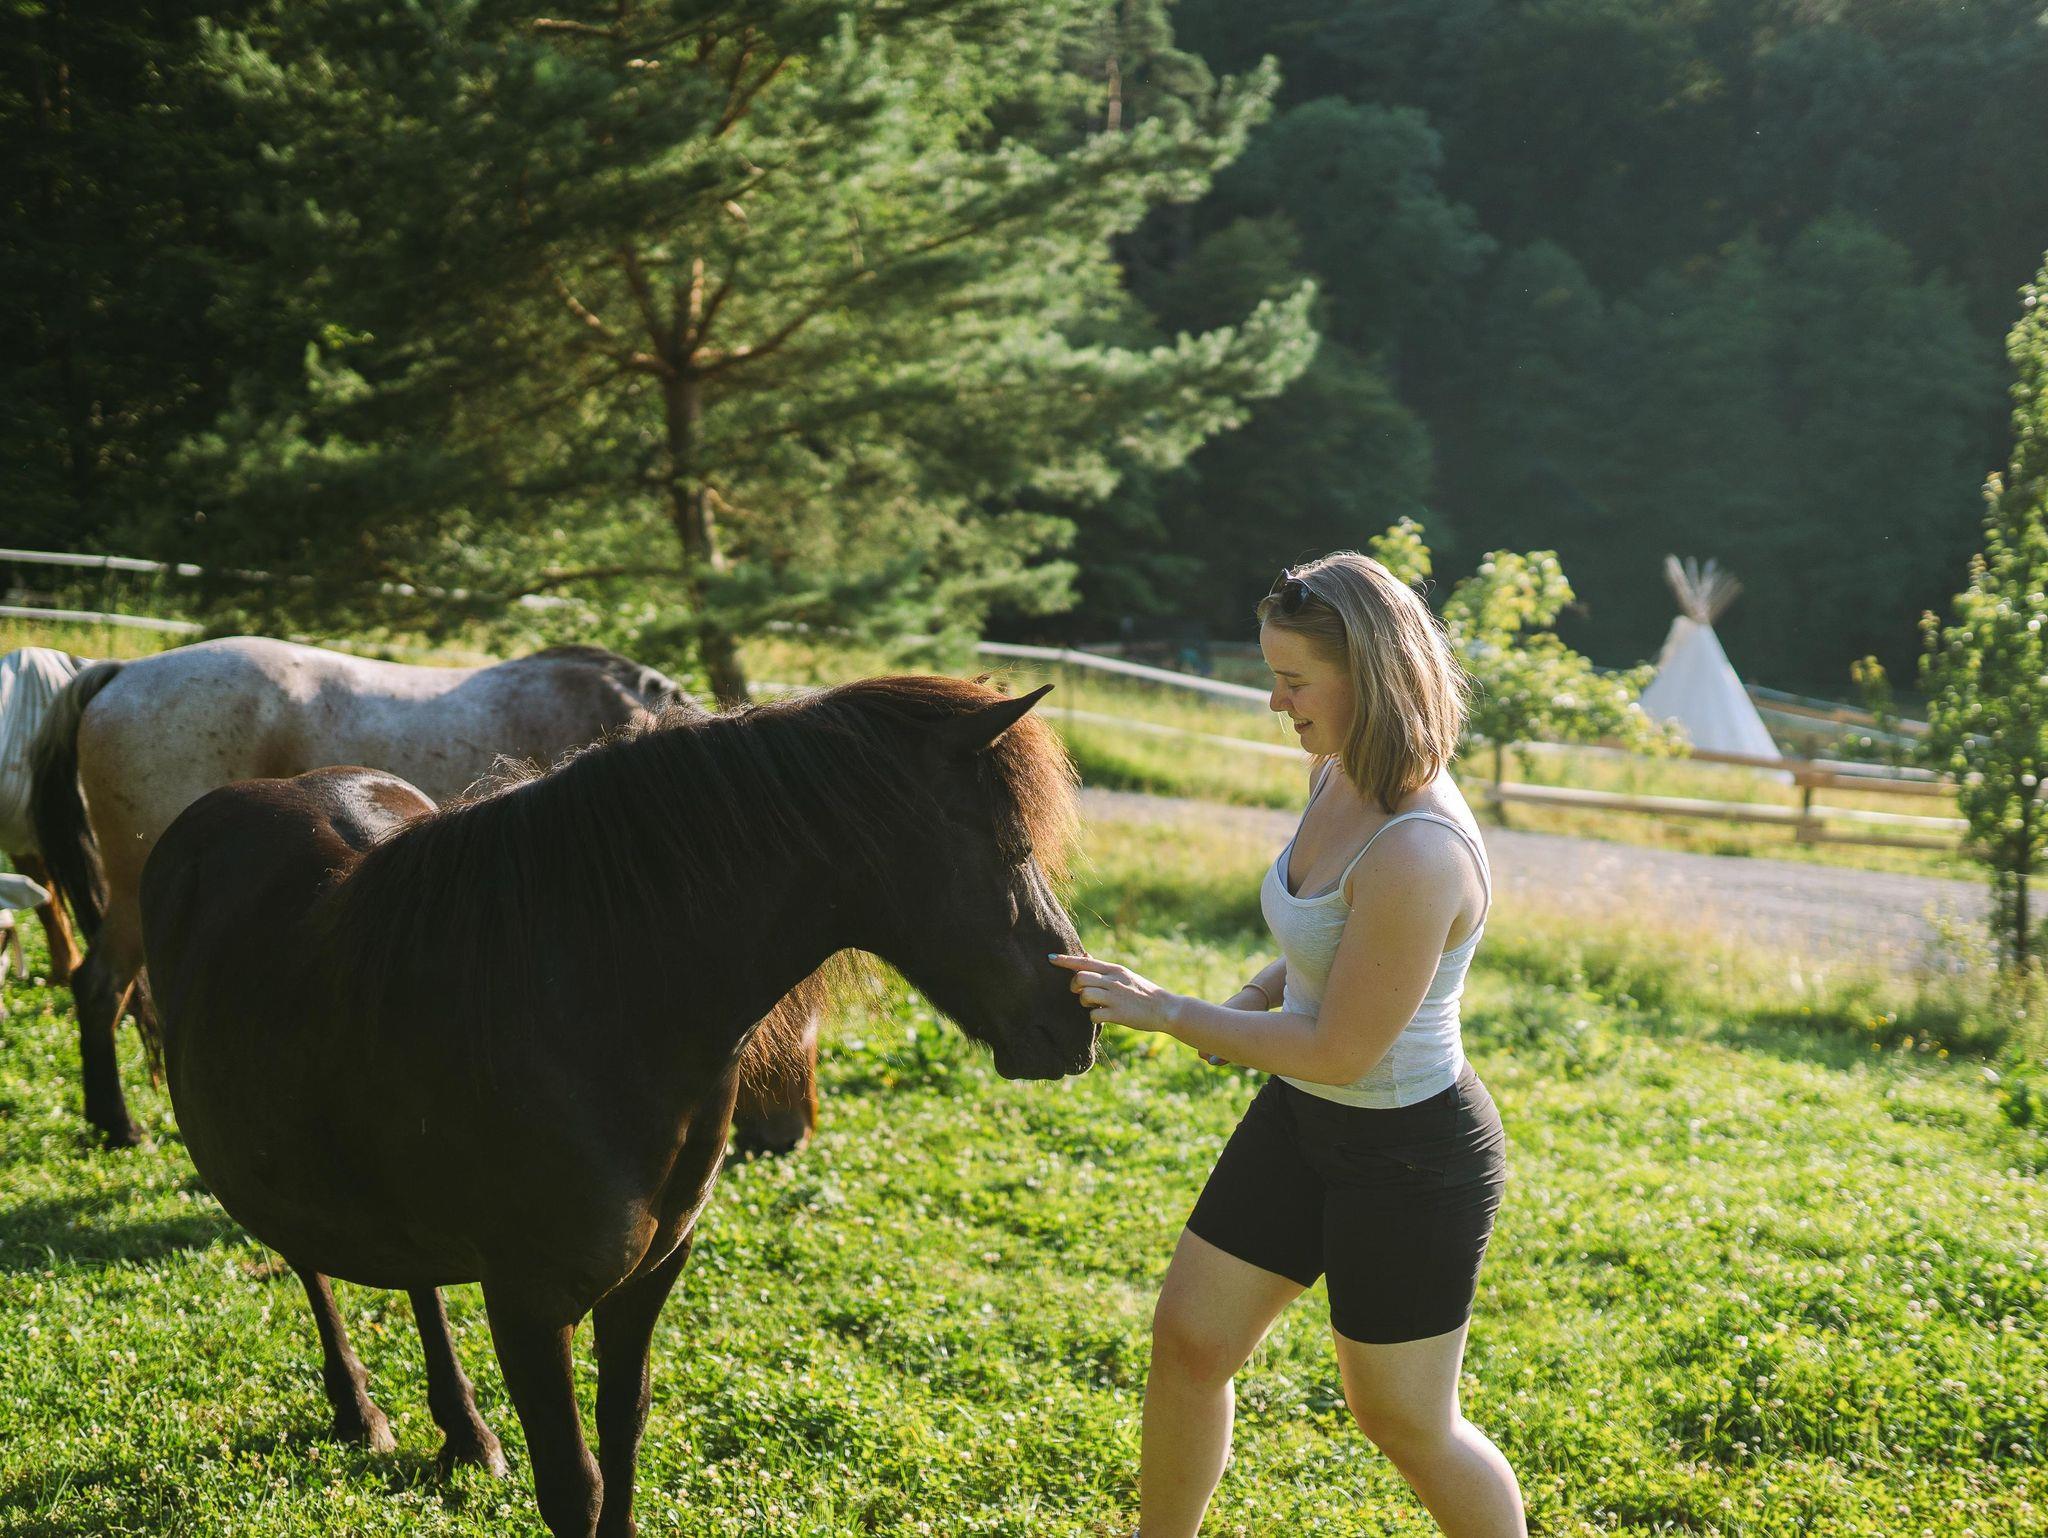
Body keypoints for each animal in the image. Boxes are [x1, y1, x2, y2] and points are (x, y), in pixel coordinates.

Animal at [139, 675, 1093, 1538]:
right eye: (1007, 846)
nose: (1077, 1025)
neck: (591, 1005)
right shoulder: (527, 1304)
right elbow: (574, 1485)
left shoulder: (647, 1277)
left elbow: (623, 1434)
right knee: (310, 1260)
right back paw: (359, 1413)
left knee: (414, 1279)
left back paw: (465, 1434)